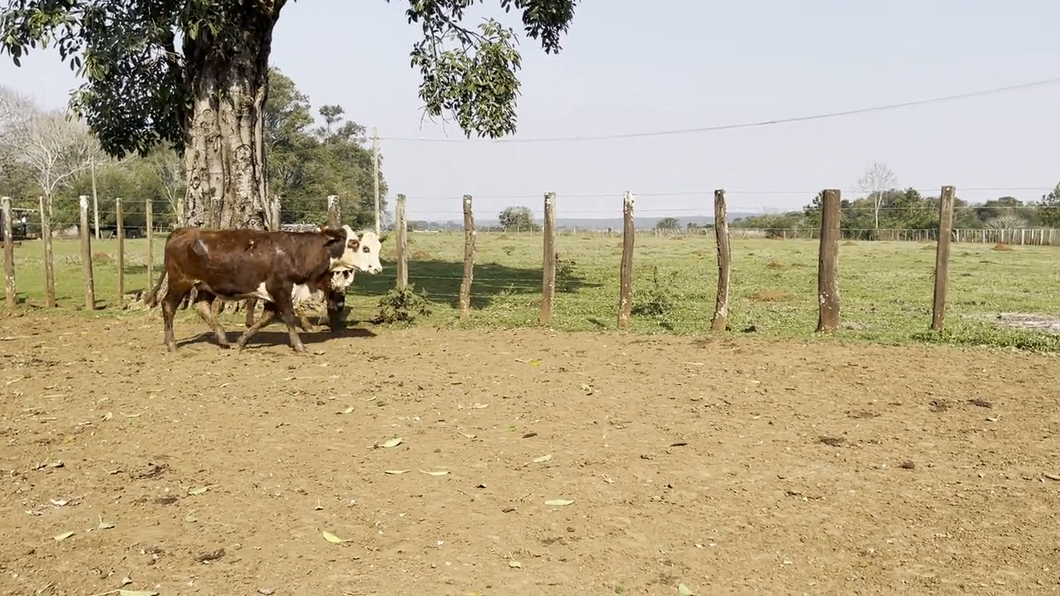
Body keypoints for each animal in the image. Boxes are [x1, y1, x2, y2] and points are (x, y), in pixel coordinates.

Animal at [145, 223, 383, 352]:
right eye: (359, 246)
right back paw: (172, 344)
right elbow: (288, 317)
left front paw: (242, 341)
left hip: (205, 286)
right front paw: (299, 346)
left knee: (203, 308)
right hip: (181, 281)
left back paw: (223, 339)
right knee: (168, 306)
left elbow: (266, 318)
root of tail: (184, 231)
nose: (378, 269)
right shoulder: (281, 289)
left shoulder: (275, 294)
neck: (297, 251)